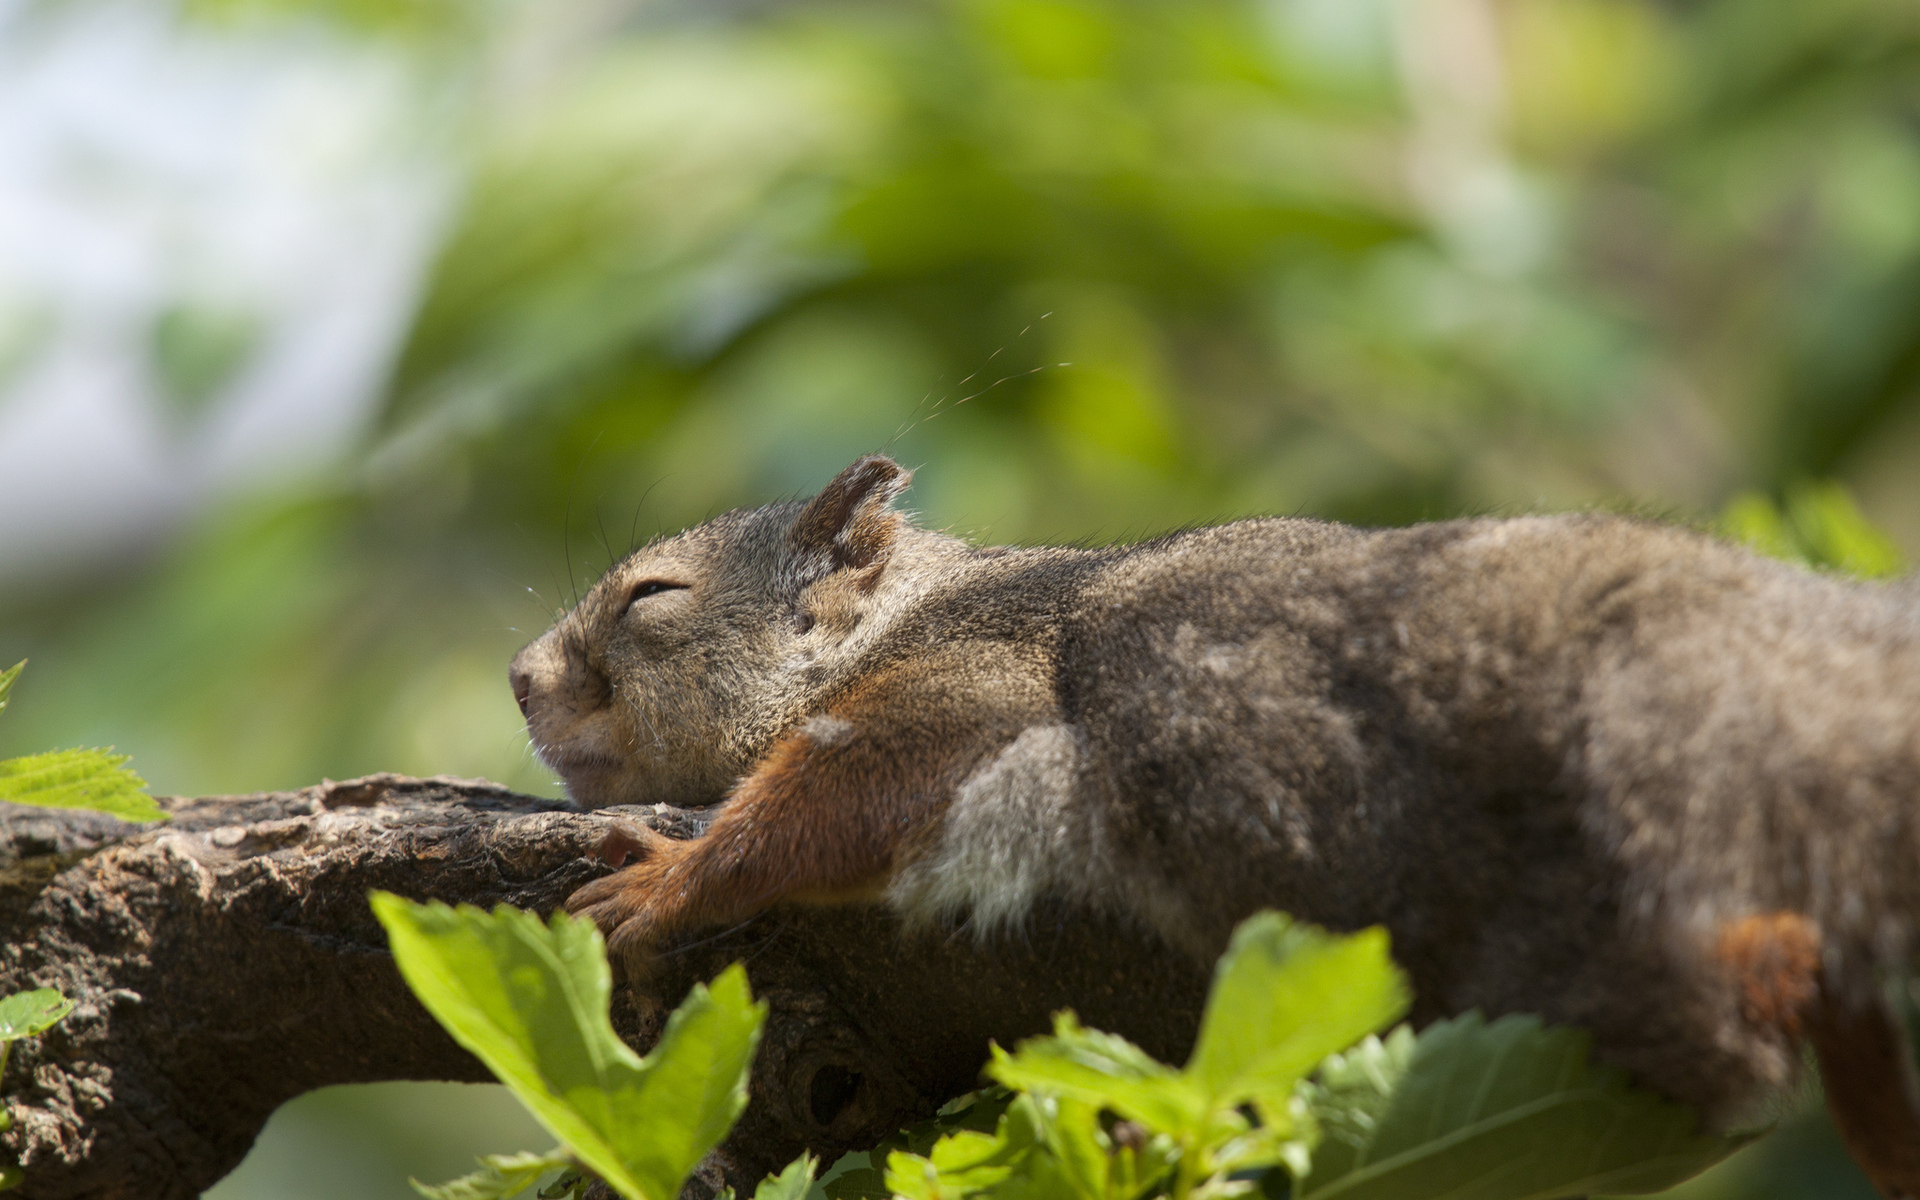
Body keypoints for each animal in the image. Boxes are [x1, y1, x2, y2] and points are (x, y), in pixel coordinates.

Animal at [510, 453, 1920, 1190]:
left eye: (650, 598)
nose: (520, 678)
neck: (906, 617)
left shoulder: (973, 686)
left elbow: (846, 794)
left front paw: (671, 877)